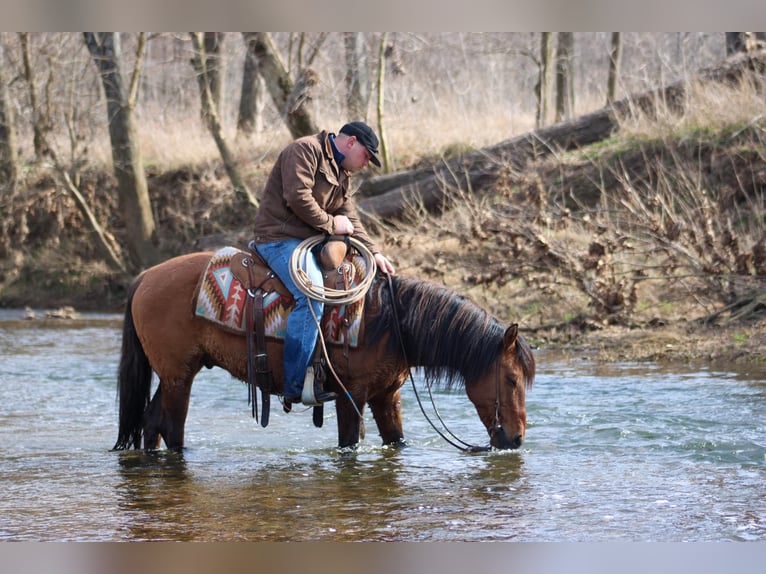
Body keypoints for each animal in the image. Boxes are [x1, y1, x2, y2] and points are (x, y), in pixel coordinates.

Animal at [112, 252, 536, 454]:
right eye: (511, 378)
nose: (517, 439)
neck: (390, 322)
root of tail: (146, 277)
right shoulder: (350, 396)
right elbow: (348, 445)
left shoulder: (386, 396)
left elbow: (396, 442)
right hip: (178, 377)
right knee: (171, 430)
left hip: (172, 375)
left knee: (150, 425)